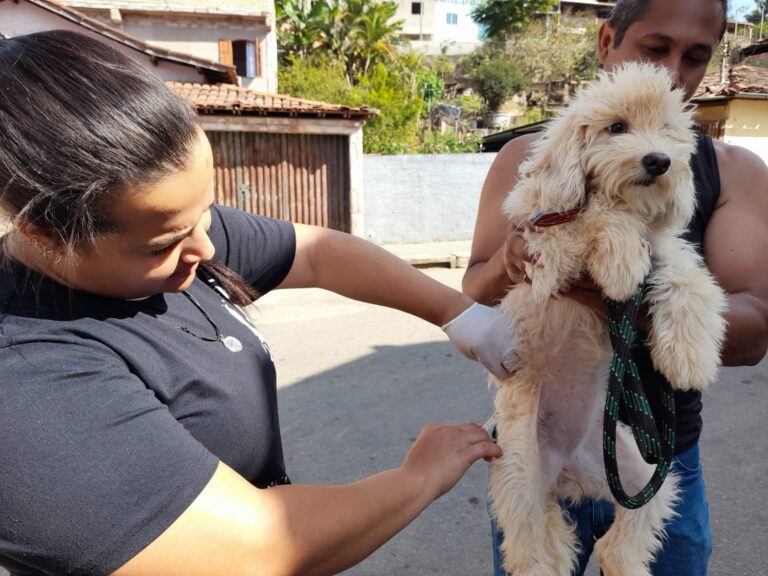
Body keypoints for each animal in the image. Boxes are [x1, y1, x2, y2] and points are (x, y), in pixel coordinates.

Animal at [488, 63, 728, 576]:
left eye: (667, 130)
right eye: (617, 127)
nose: (659, 161)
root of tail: (567, 475)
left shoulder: (668, 251)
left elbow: (690, 283)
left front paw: (689, 359)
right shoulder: (545, 246)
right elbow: (595, 214)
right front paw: (620, 262)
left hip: (643, 473)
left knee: (623, 534)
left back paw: (624, 563)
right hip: (518, 469)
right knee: (527, 542)